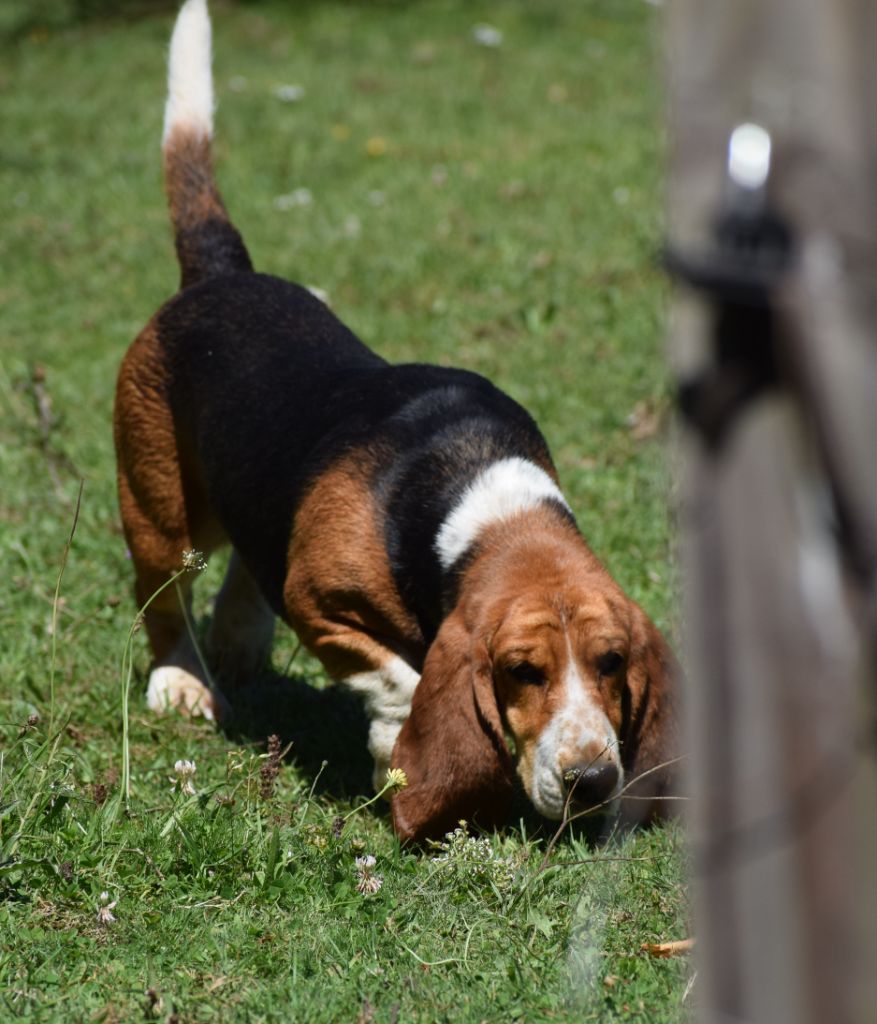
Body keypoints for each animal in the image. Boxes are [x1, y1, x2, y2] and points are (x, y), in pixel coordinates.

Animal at [114, 0, 680, 839]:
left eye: (611, 663)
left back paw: (239, 643)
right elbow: (402, 681)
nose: (591, 780)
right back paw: (182, 681)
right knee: (163, 594)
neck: (472, 500)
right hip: (161, 508)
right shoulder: (320, 601)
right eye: (522, 672)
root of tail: (219, 275)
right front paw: (397, 748)